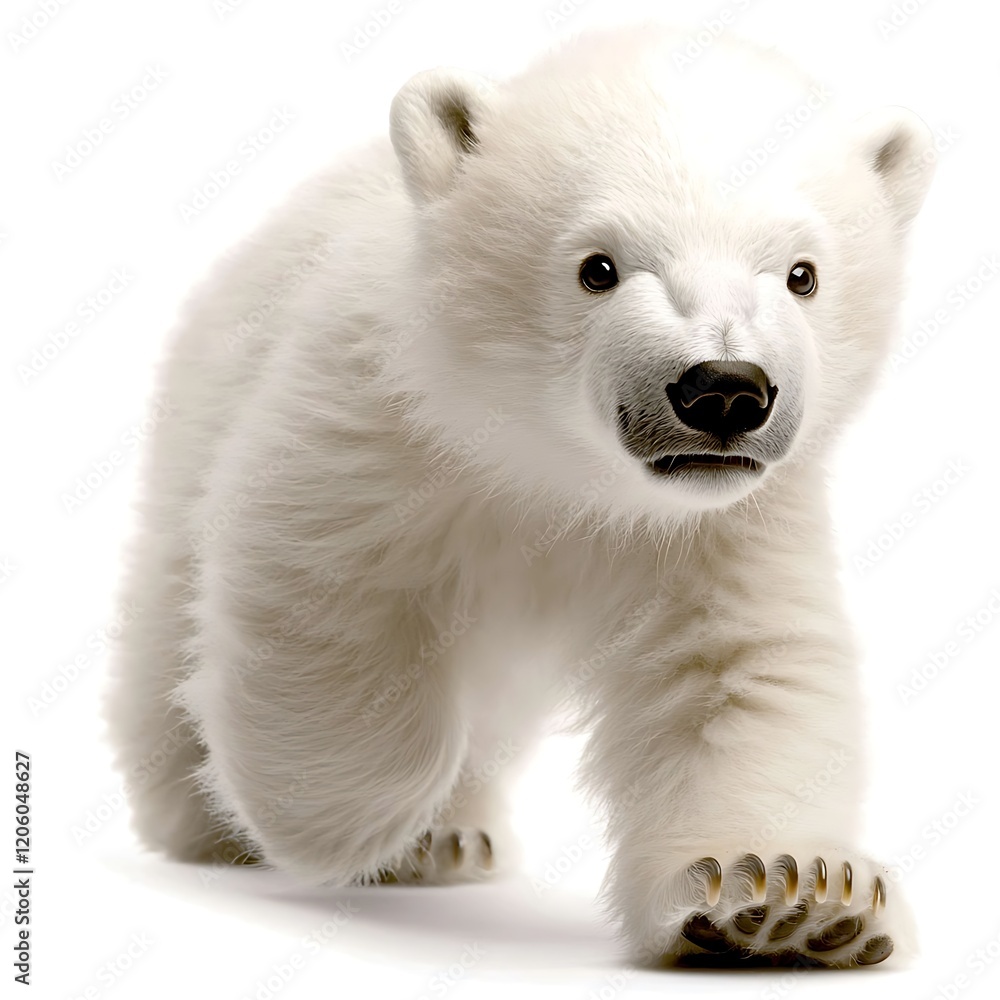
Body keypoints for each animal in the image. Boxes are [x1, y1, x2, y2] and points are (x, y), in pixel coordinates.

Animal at [104, 24, 936, 968]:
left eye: (802, 273)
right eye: (597, 267)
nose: (724, 390)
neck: (556, 465)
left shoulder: (726, 526)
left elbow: (741, 672)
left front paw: (788, 903)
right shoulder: (376, 421)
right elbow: (326, 595)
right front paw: (349, 822)